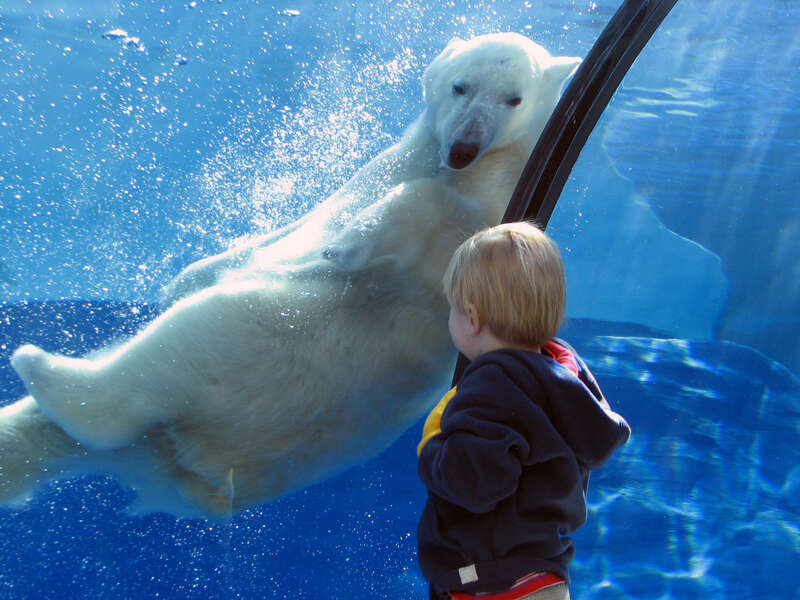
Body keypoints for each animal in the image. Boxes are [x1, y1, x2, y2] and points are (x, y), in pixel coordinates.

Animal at [2, 33, 580, 517]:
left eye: (514, 99)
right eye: (461, 86)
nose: (464, 146)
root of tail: (196, 470)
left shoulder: (497, 195)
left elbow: (448, 229)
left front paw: (347, 246)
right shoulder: (389, 163)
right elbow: (295, 225)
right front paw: (182, 277)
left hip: (277, 338)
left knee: (179, 351)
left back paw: (44, 367)